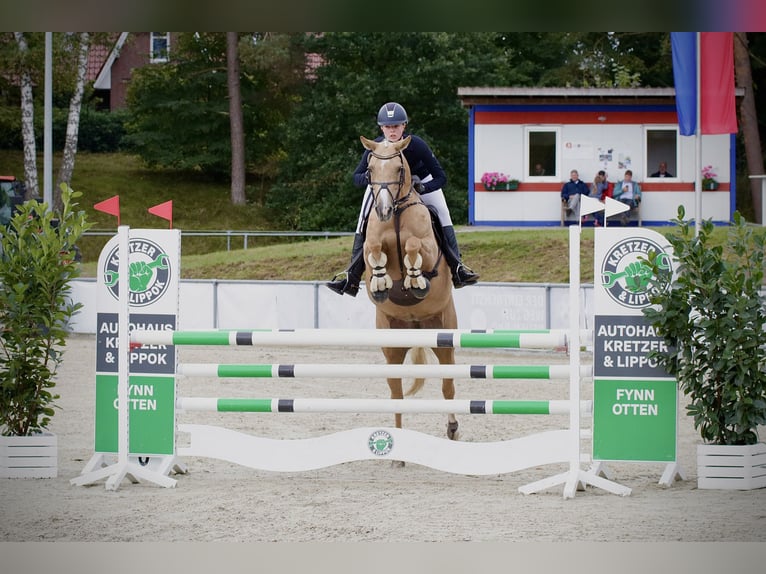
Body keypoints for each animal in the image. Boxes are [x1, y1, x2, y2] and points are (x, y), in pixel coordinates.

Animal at [362, 136, 462, 446]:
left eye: (398, 169)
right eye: (370, 170)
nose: (382, 211)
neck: (395, 216)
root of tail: (416, 326)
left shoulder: (429, 250)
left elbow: (414, 246)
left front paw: (416, 279)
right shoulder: (371, 245)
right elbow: (373, 248)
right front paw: (380, 282)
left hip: (444, 336)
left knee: (448, 387)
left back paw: (453, 429)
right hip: (392, 346)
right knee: (397, 394)